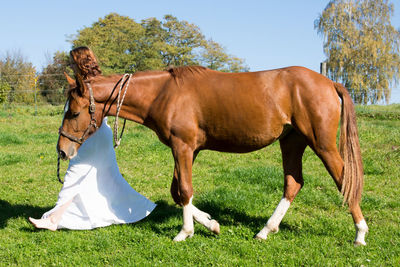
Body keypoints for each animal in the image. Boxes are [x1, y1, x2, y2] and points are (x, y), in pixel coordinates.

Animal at [57, 47, 368, 246]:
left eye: (73, 112)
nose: (62, 150)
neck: (164, 93)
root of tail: (329, 82)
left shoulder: (182, 147)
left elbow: (184, 190)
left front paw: (185, 232)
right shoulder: (188, 150)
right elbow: (178, 192)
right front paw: (211, 223)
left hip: (322, 144)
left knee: (344, 180)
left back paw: (360, 234)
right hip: (292, 141)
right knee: (293, 183)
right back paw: (266, 230)